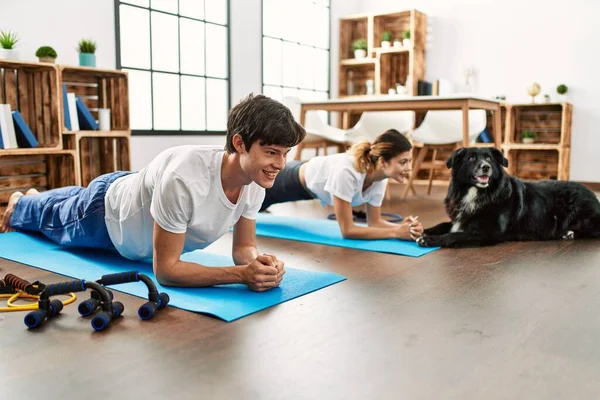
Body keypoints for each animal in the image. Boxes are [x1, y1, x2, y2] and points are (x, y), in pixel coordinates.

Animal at [418, 147, 600, 247]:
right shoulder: (460, 219)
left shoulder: (488, 232)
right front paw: (423, 231)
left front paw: (430, 240)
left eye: (489, 158)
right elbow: (442, 225)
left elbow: (453, 236)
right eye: (471, 158)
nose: (486, 167)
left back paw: (567, 233)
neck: (478, 193)